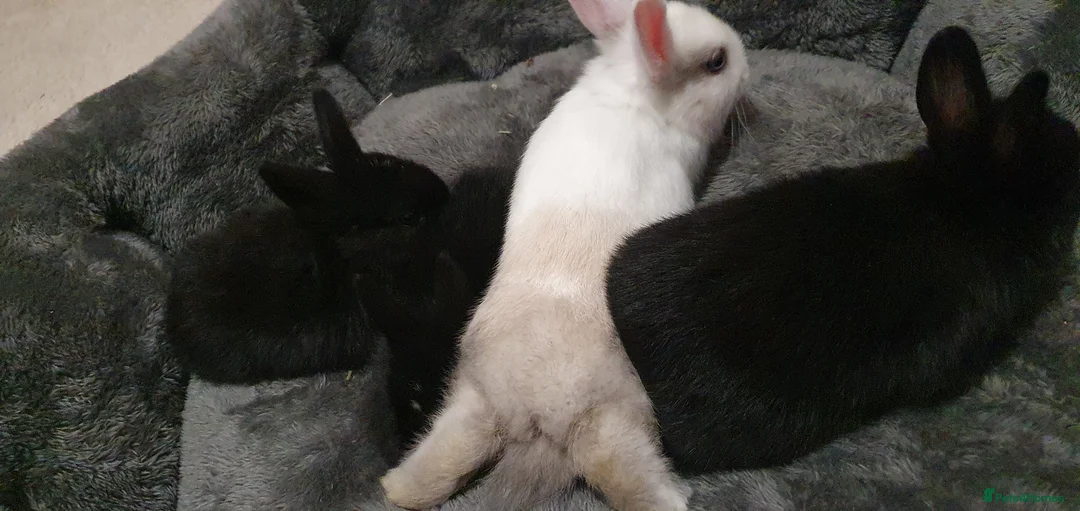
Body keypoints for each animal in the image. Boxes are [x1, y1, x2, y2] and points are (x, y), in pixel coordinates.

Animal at [379, 1, 750, 510]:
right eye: (717, 62)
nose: (747, 60)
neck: (634, 91)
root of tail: (532, 410)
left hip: (472, 399)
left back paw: (395, 488)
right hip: (613, 411)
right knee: (612, 461)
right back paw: (672, 499)